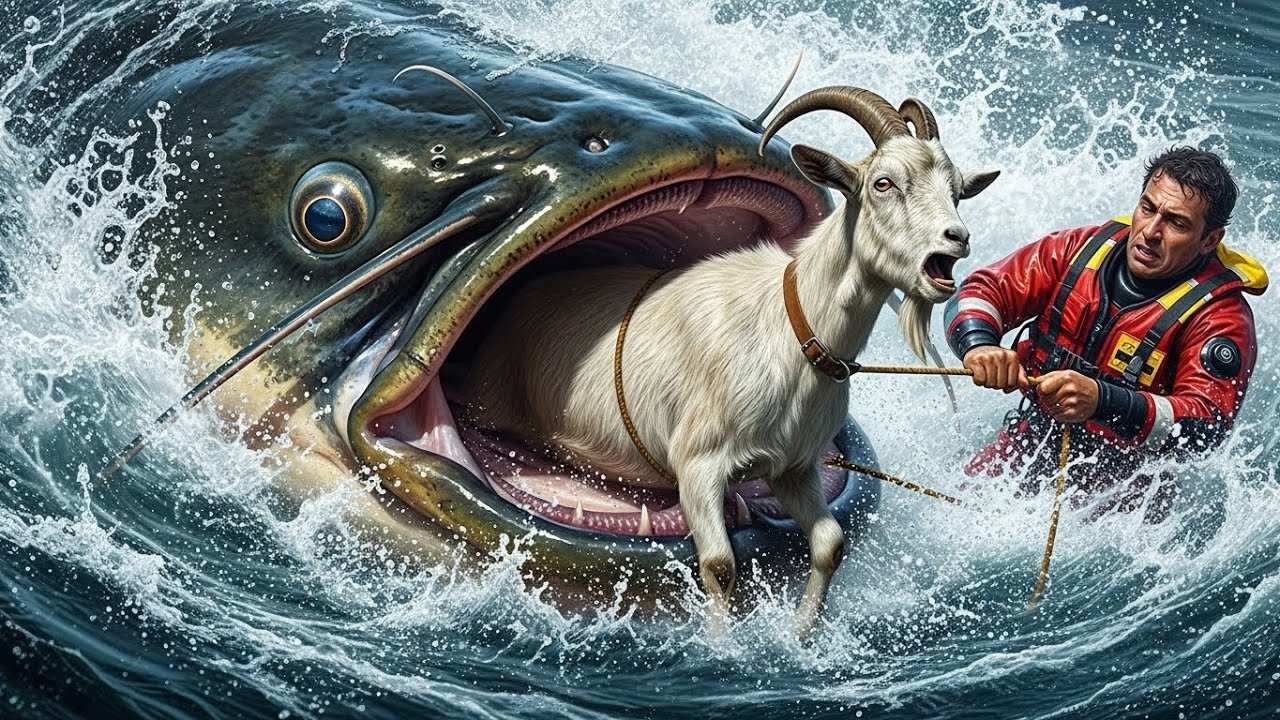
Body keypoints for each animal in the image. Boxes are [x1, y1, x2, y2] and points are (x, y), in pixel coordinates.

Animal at [460, 87, 998, 636]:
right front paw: (720, 648)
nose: (957, 239)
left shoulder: (793, 467)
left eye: (957, 189)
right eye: (883, 183)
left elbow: (829, 543)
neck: (789, 330)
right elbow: (719, 565)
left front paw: (801, 635)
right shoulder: (698, 467)